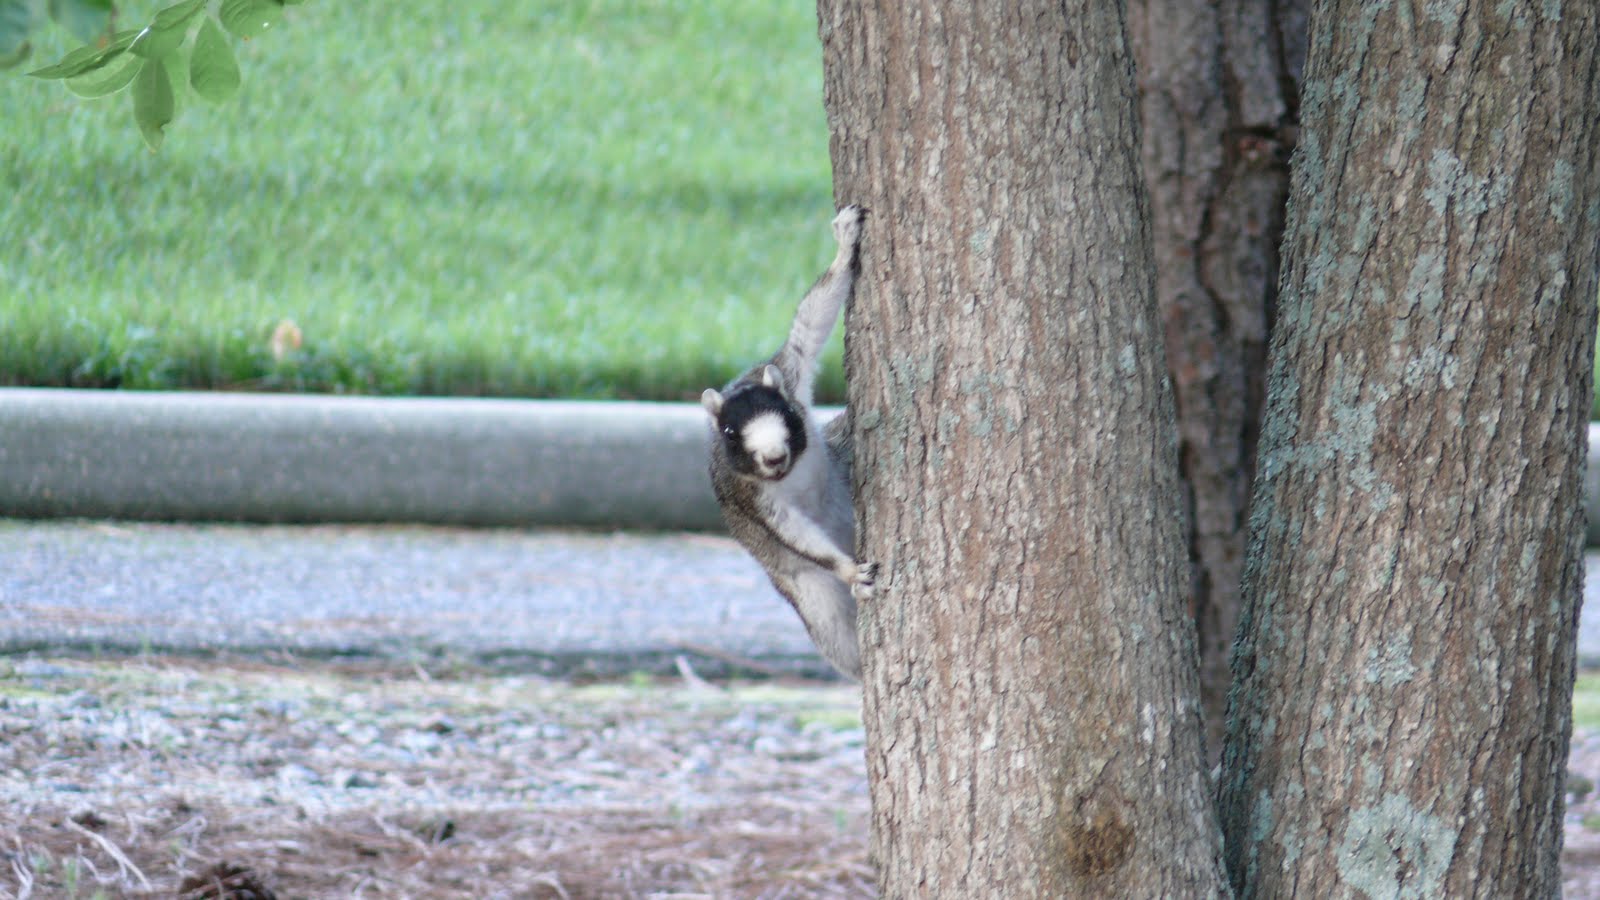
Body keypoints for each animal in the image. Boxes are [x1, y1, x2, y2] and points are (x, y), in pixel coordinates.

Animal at [701, 205, 878, 680]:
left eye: (787, 412)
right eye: (729, 433)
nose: (774, 455)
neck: (793, 472)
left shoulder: (790, 371)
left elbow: (811, 324)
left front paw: (843, 246)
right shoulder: (753, 500)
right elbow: (792, 531)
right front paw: (851, 571)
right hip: (813, 599)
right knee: (836, 633)